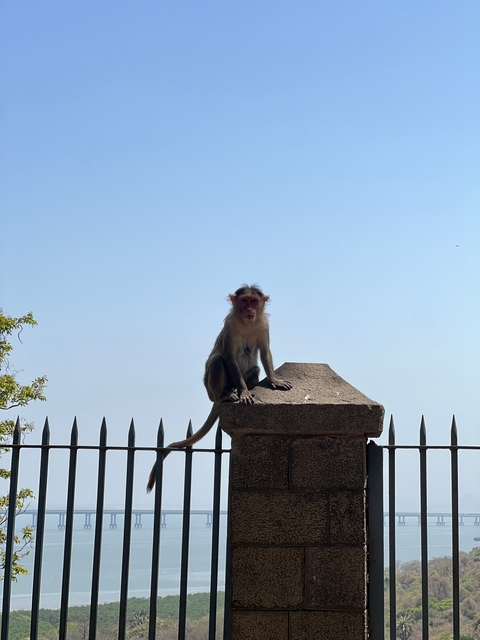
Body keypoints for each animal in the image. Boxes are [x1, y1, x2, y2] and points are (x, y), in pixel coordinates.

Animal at [146, 284, 292, 492]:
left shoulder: (264, 325)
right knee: (216, 361)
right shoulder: (230, 325)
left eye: (254, 301)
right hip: (211, 389)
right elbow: (229, 356)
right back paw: (226, 396)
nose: (249, 309)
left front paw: (274, 380)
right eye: (244, 301)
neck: (246, 323)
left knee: (255, 369)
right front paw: (244, 392)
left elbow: (265, 353)